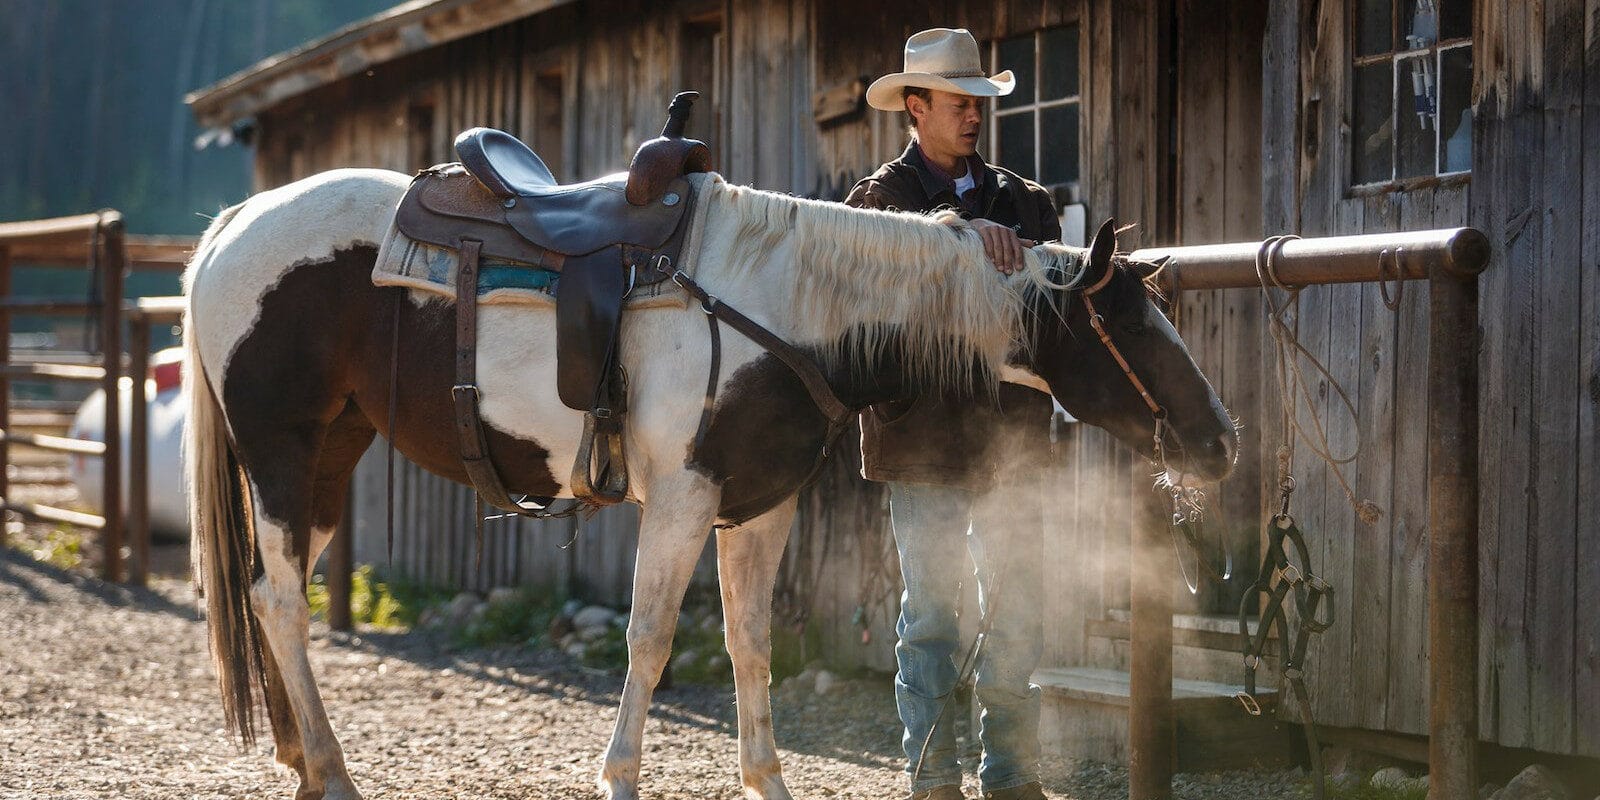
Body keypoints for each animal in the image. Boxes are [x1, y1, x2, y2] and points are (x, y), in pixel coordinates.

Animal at [184, 170, 1235, 800]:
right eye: (1128, 324)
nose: (1220, 442)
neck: (784, 308)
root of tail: (235, 222)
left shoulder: (758, 508)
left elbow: (749, 643)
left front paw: (766, 777)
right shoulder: (682, 500)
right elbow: (650, 639)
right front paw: (618, 774)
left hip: (331, 457)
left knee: (272, 588)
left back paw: (296, 753)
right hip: (281, 452)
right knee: (279, 599)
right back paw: (330, 767)